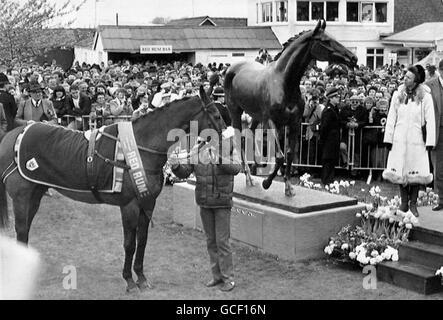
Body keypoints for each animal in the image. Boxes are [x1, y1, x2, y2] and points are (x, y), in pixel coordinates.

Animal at [0, 86, 225, 294]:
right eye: (216, 115)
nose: (226, 140)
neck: (140, 148)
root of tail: (13, 135)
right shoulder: (129, 205)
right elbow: (130, 244)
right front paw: (129, 281)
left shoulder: (147, 203)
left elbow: (142, 241)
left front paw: (141, 278)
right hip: (21, 197)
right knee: (21, 230)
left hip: (35, 194)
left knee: (25, 229)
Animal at [224, 20, 360, 196]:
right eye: (326, 41)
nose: (353, 58)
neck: (283, 82)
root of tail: (231, 68)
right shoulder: (272, 122)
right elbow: (280, 156)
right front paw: (267, 183)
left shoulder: (294, 123)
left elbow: (289, 154)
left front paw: (288, 187)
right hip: (235, 111)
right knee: (238, 139)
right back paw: (249, 177)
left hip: (255, 116)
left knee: (247, 136)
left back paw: (254, 169)